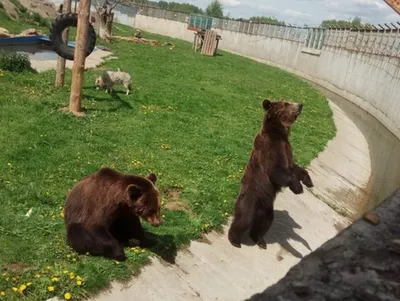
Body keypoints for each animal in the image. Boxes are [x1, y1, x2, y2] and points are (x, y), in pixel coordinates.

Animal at [228, 98, 312, 248]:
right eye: (286, 103)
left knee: (265, 222)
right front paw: (298, 188)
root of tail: (258, 210)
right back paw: (234, 239)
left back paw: (259, 240)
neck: (279, 133)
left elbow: (294, 168)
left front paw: (308, 181)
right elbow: (276, 171)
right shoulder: (270, 149)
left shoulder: (287, 149)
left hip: (267, 206)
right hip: (250, 198)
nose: (300, 105)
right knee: (244, 218)